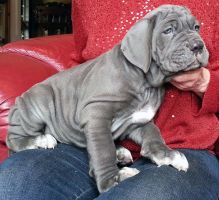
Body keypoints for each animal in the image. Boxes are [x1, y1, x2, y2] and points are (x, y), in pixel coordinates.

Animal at [6, 4, 209, 192]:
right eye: (168, 31)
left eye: (197, 27)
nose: (198, 46)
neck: (147, 82)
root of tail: (19, 102)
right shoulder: (96, 115)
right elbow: (103, 152)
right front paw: (111, 181)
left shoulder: (139, 121)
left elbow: (153, 134)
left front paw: (166, 155)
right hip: (40, 104)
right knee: (13, 139)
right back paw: (41, 140)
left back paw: (119, 151)